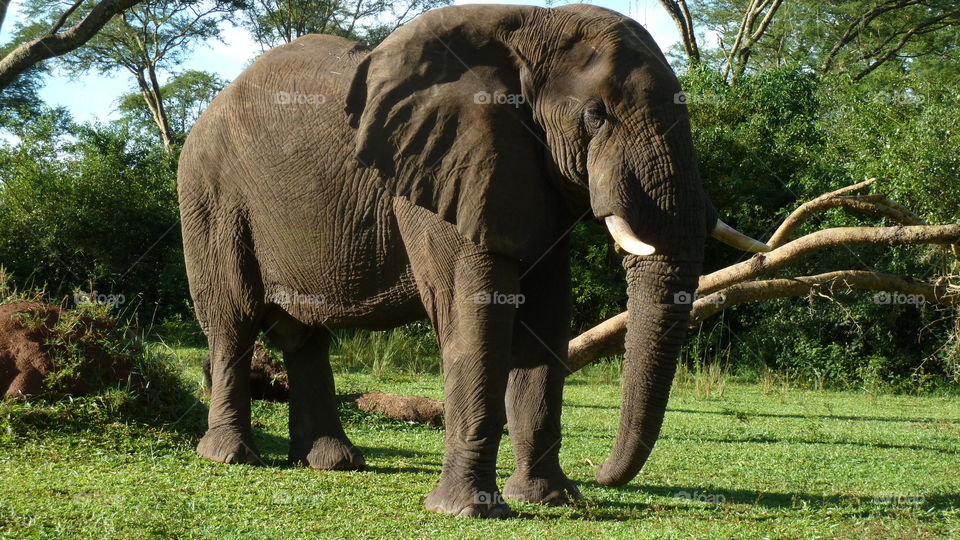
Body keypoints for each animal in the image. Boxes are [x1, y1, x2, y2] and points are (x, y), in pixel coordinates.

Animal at [177, 3, 768, 518]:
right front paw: (469, 511)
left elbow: (546, 322)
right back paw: (231, 457)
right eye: (596, 117)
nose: (602, 473)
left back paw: (333, 463)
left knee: (305, 335)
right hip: (210, 196)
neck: (529, 29)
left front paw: (551, 500)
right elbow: (478, 316)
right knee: (232, 319)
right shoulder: (443, 172)